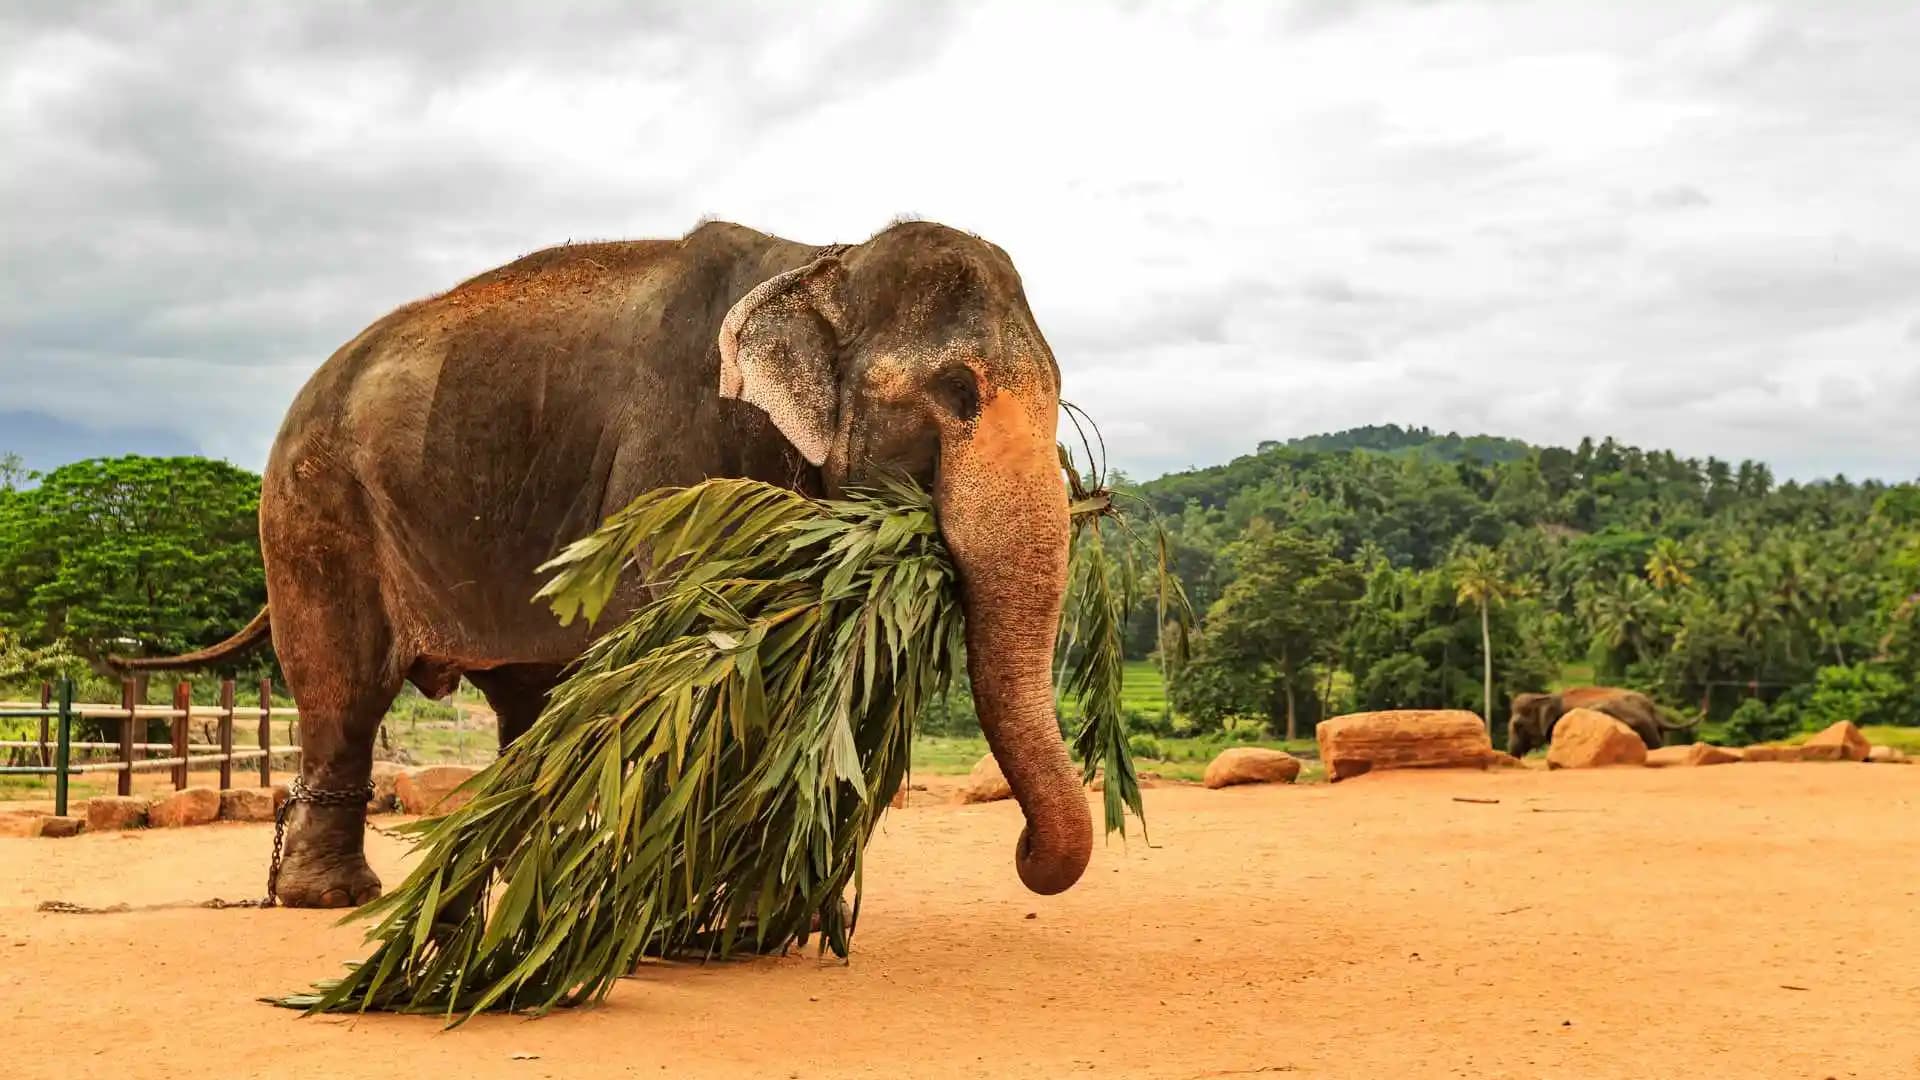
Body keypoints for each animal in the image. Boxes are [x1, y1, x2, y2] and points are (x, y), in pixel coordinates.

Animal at [120, 219, 1089, 909]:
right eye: (957, 393)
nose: (1021, 852)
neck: (824, 256)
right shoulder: (676, 450)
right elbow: (693, 641)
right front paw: (700, 920)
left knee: (524, 698)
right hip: (317, 512)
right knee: (343, 690)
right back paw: (332, 898)